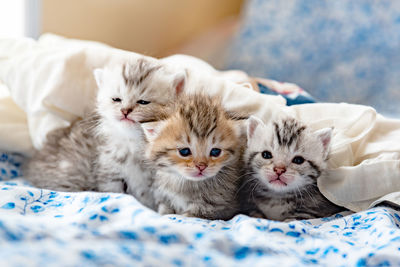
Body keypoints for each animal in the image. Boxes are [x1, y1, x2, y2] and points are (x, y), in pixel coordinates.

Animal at [25, 58, 185, 209]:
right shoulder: (109, 172)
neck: (133, 142)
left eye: (143, 102)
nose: (125, 111)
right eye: (116, 99)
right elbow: (116, 193)